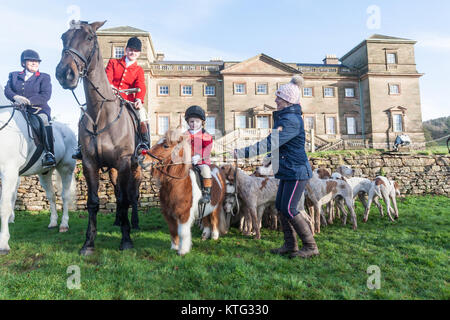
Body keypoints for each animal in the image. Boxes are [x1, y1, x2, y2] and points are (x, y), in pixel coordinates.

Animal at [56, 20, 141, 255]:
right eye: (63, 37)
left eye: (89, 38)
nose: (64, 73)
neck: (100, 115)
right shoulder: (89, 163)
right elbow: (93, 202)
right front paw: (88, 243)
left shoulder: (124, 162)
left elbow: (124, 199)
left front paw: (126, 240)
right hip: (112, 170)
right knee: (118, 190)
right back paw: (119, 221)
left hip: (135, 166)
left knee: (133, 194)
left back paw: (133, 223)